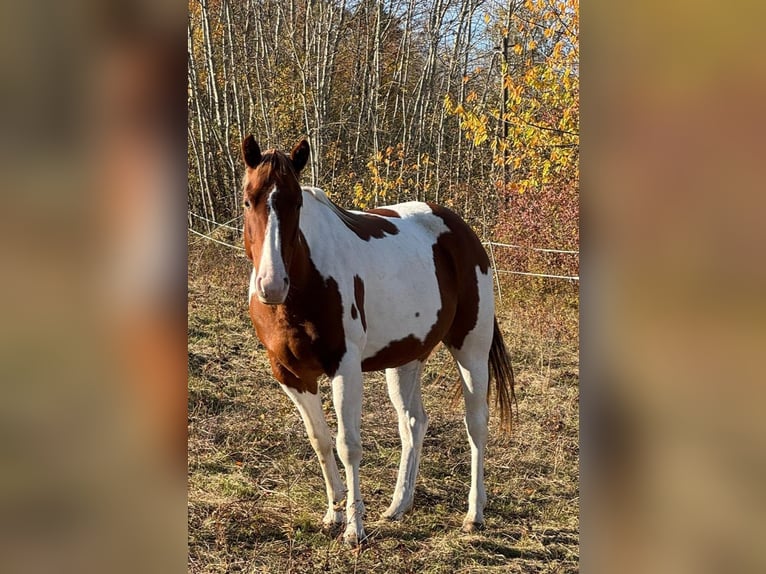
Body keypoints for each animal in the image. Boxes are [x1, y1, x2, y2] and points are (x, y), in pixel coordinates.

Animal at [240, 136, 516, 548]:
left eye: (297, 204)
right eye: (248, 200)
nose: (271, 286)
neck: (305, 283)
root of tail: (460, 229)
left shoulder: (345, 368)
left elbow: (348, 445)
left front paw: (354, 528)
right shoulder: (290, 374)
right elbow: (320, 440)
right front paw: (334, 514)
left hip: (472, 349)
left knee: (476, 425)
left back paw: (473, 514)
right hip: (405, 359)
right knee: (414, 423)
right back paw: (399, 505)